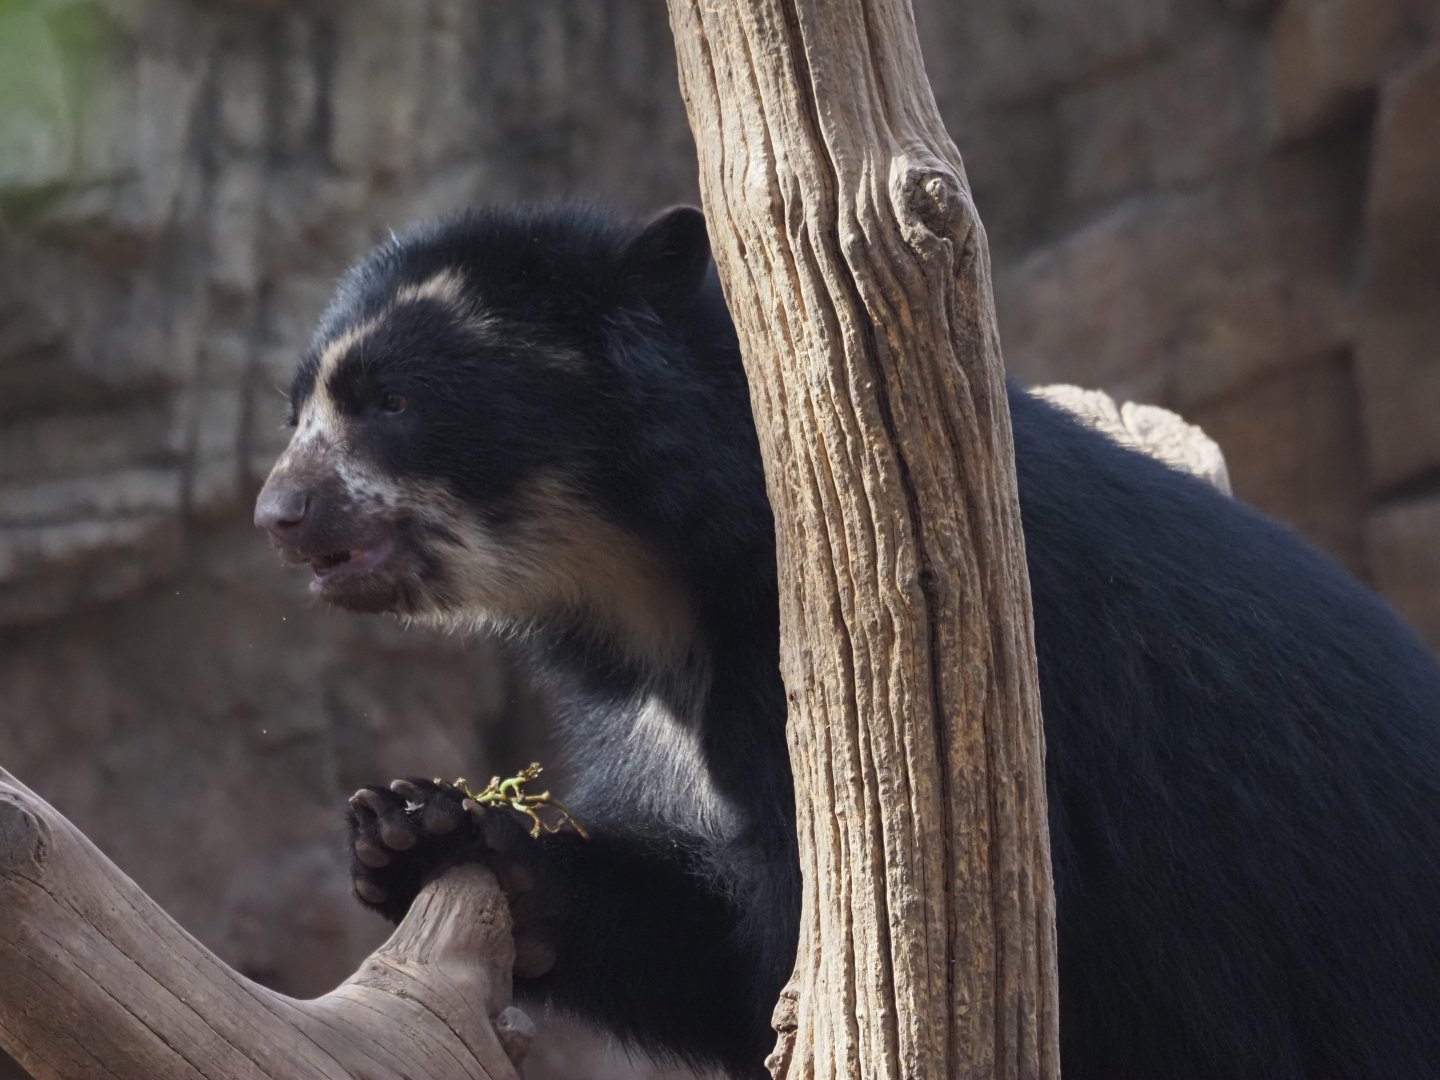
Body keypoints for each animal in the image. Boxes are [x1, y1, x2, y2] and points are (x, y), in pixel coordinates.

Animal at [255, 203, 1440, 1079]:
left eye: (393, 400)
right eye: (296, 408)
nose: (279, 514)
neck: (660, 585)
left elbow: (808, 952)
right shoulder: (649, 716)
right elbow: (709, 941)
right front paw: (418, 830)